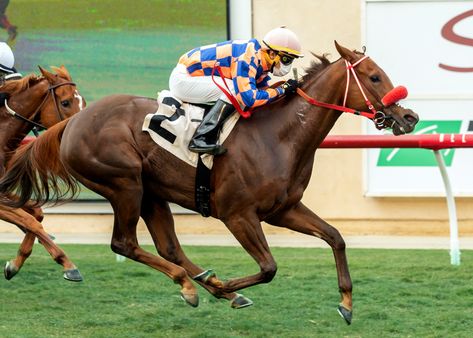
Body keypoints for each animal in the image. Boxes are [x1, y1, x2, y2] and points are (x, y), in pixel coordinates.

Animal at [0, 43, 416, 324]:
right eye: (374, 76)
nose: (409, 117)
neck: (279, 136)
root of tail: (71, 123)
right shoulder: (238, 214)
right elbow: (269, 268)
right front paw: (228, 285)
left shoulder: (283, 210)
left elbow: (336, 237)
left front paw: (346, 303)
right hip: (124, 183)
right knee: (124, 243)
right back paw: (195, 285)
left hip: (152, 192)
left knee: (168, 248)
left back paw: (201, 283)